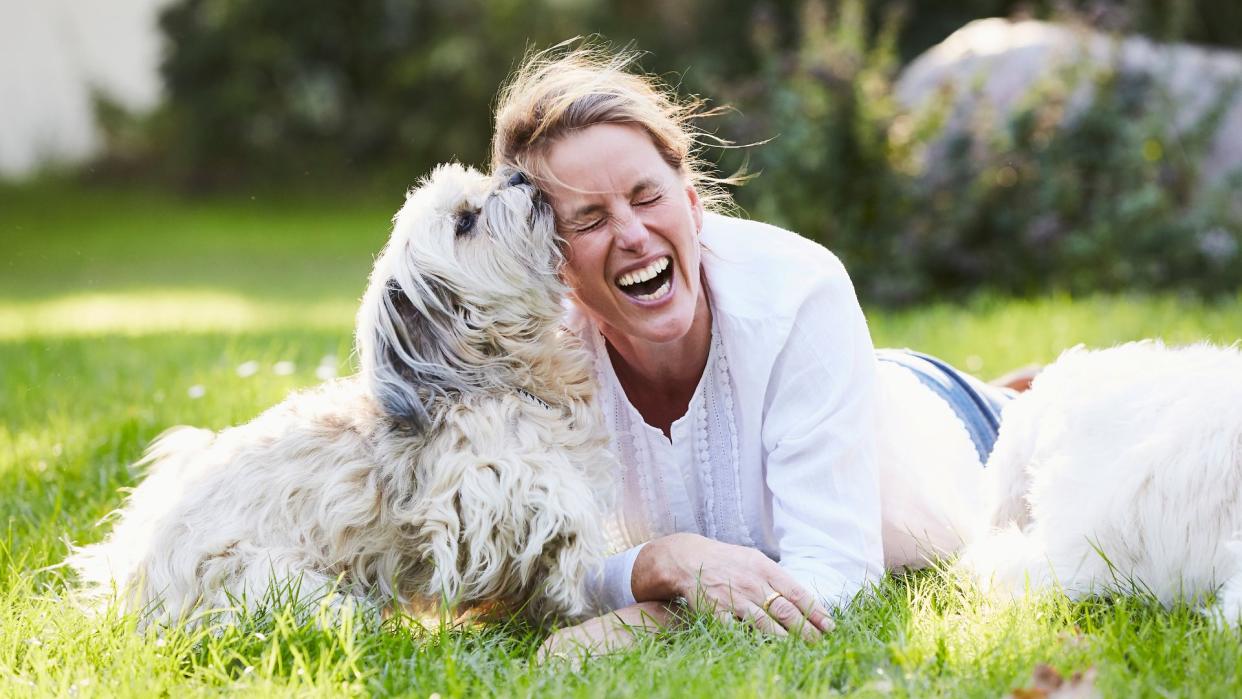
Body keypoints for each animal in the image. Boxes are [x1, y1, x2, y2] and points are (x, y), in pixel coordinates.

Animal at [65, 162, 618, 628]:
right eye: (466, 221)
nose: (518, 175)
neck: (493, 376)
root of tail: (129, 587)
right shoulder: (476, 485)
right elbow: (559, 503)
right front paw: (573, 575)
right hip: (280, 584)